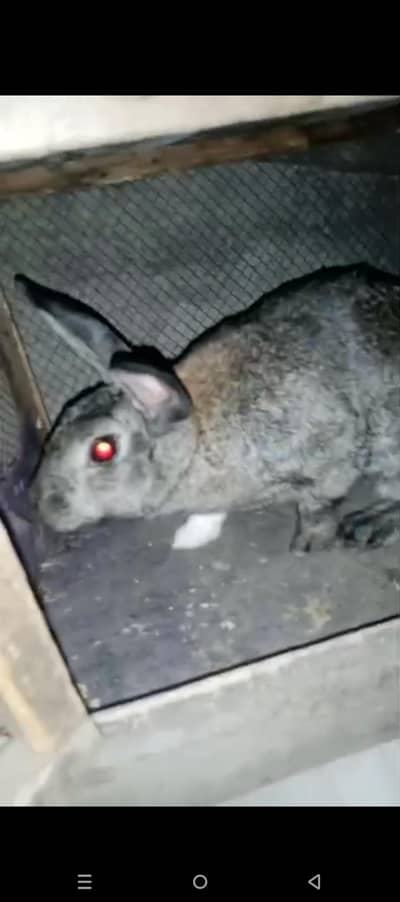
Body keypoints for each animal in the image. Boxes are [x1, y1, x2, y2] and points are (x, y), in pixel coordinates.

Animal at [15, 262, 400, 552]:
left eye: (103, 449)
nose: (38, 505)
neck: (197, 438)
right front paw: (190, 537)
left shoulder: (331, 454)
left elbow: (318, 504)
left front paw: (308, 543)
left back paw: (370, 524)